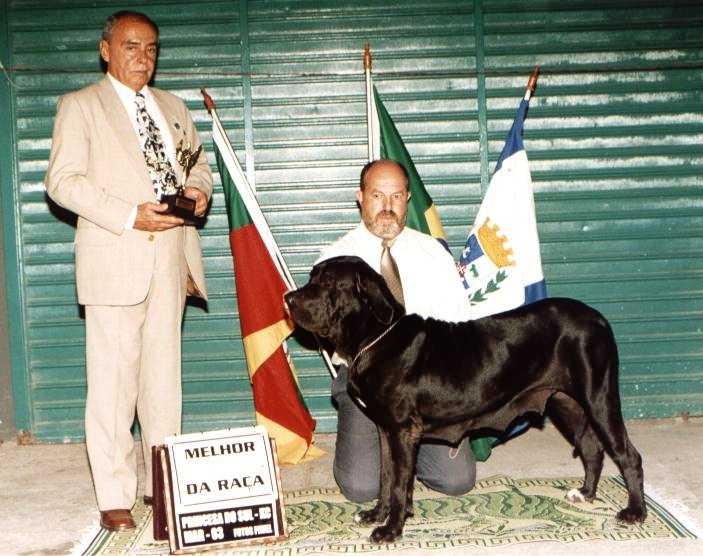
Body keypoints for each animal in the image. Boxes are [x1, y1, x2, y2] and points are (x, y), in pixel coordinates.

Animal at [284, 258, 648, 544]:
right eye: (312, 276)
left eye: (327, 283)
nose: (288, 298)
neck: (376, 338)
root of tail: (598, 319)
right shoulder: (386, 430)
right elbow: (387, 477)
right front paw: (378, 515)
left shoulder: (402, 430)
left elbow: (400, 482)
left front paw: (391, 530)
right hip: (565, 403)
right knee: (591, 449)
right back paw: (585, 494)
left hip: (598, 398)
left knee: (628, 455)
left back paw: (635, 512)